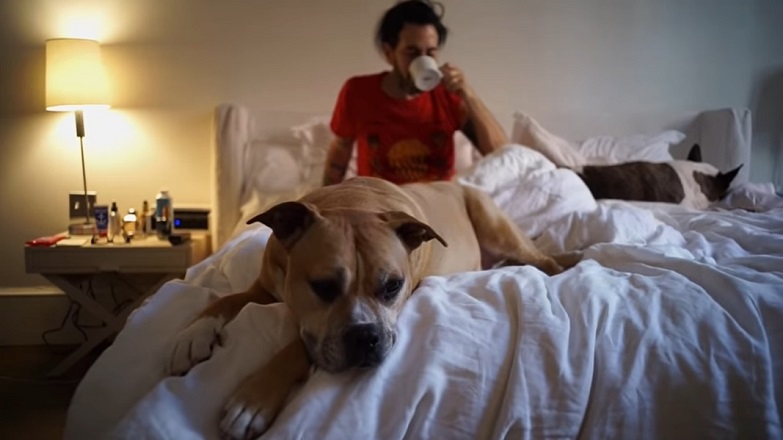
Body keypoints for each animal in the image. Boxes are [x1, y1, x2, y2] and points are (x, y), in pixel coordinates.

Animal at [167, 176, 577, 439]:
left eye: (393, 286)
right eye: (323, 286)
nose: (366, 337)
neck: (352, 202)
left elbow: (298, 346)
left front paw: (254, 399)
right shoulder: (264, 287)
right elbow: (224, 299)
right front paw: (191, 333)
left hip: (494, 223)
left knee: (543, 260)